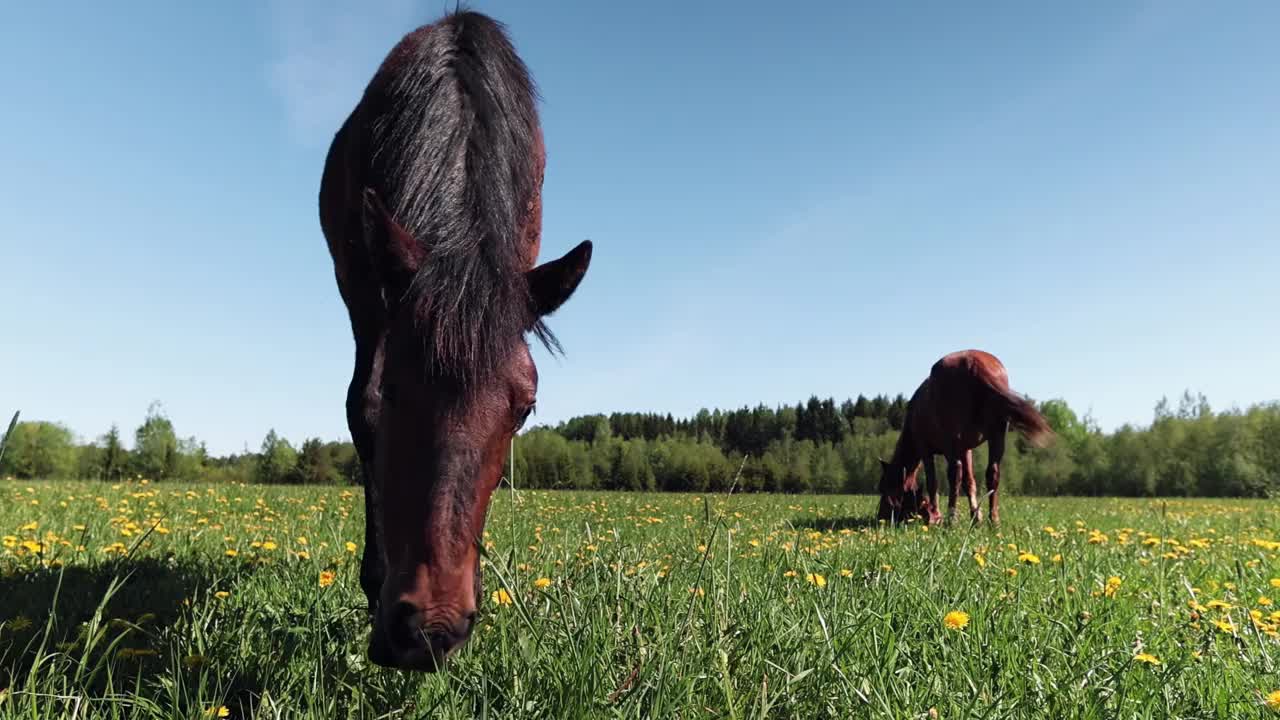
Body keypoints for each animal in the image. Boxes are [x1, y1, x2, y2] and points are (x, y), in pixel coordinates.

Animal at [322, 11, 596, 671]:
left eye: (525, 410)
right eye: (393, 390)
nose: (431, 628)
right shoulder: (366, 298)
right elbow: (359, 414)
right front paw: (375, 583)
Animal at [880, 348, 1049, 525]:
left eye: (884, 488)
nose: (881, 518)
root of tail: (973, 363)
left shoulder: (926, 449)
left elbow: (933, 482)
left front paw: (936, 515)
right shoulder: (966, 449)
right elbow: (969, 482)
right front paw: (976, 517)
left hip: (952, 440)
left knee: (955, 473)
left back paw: (951, 519)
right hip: (996, 435)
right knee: (992, 472)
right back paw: (993, 520)